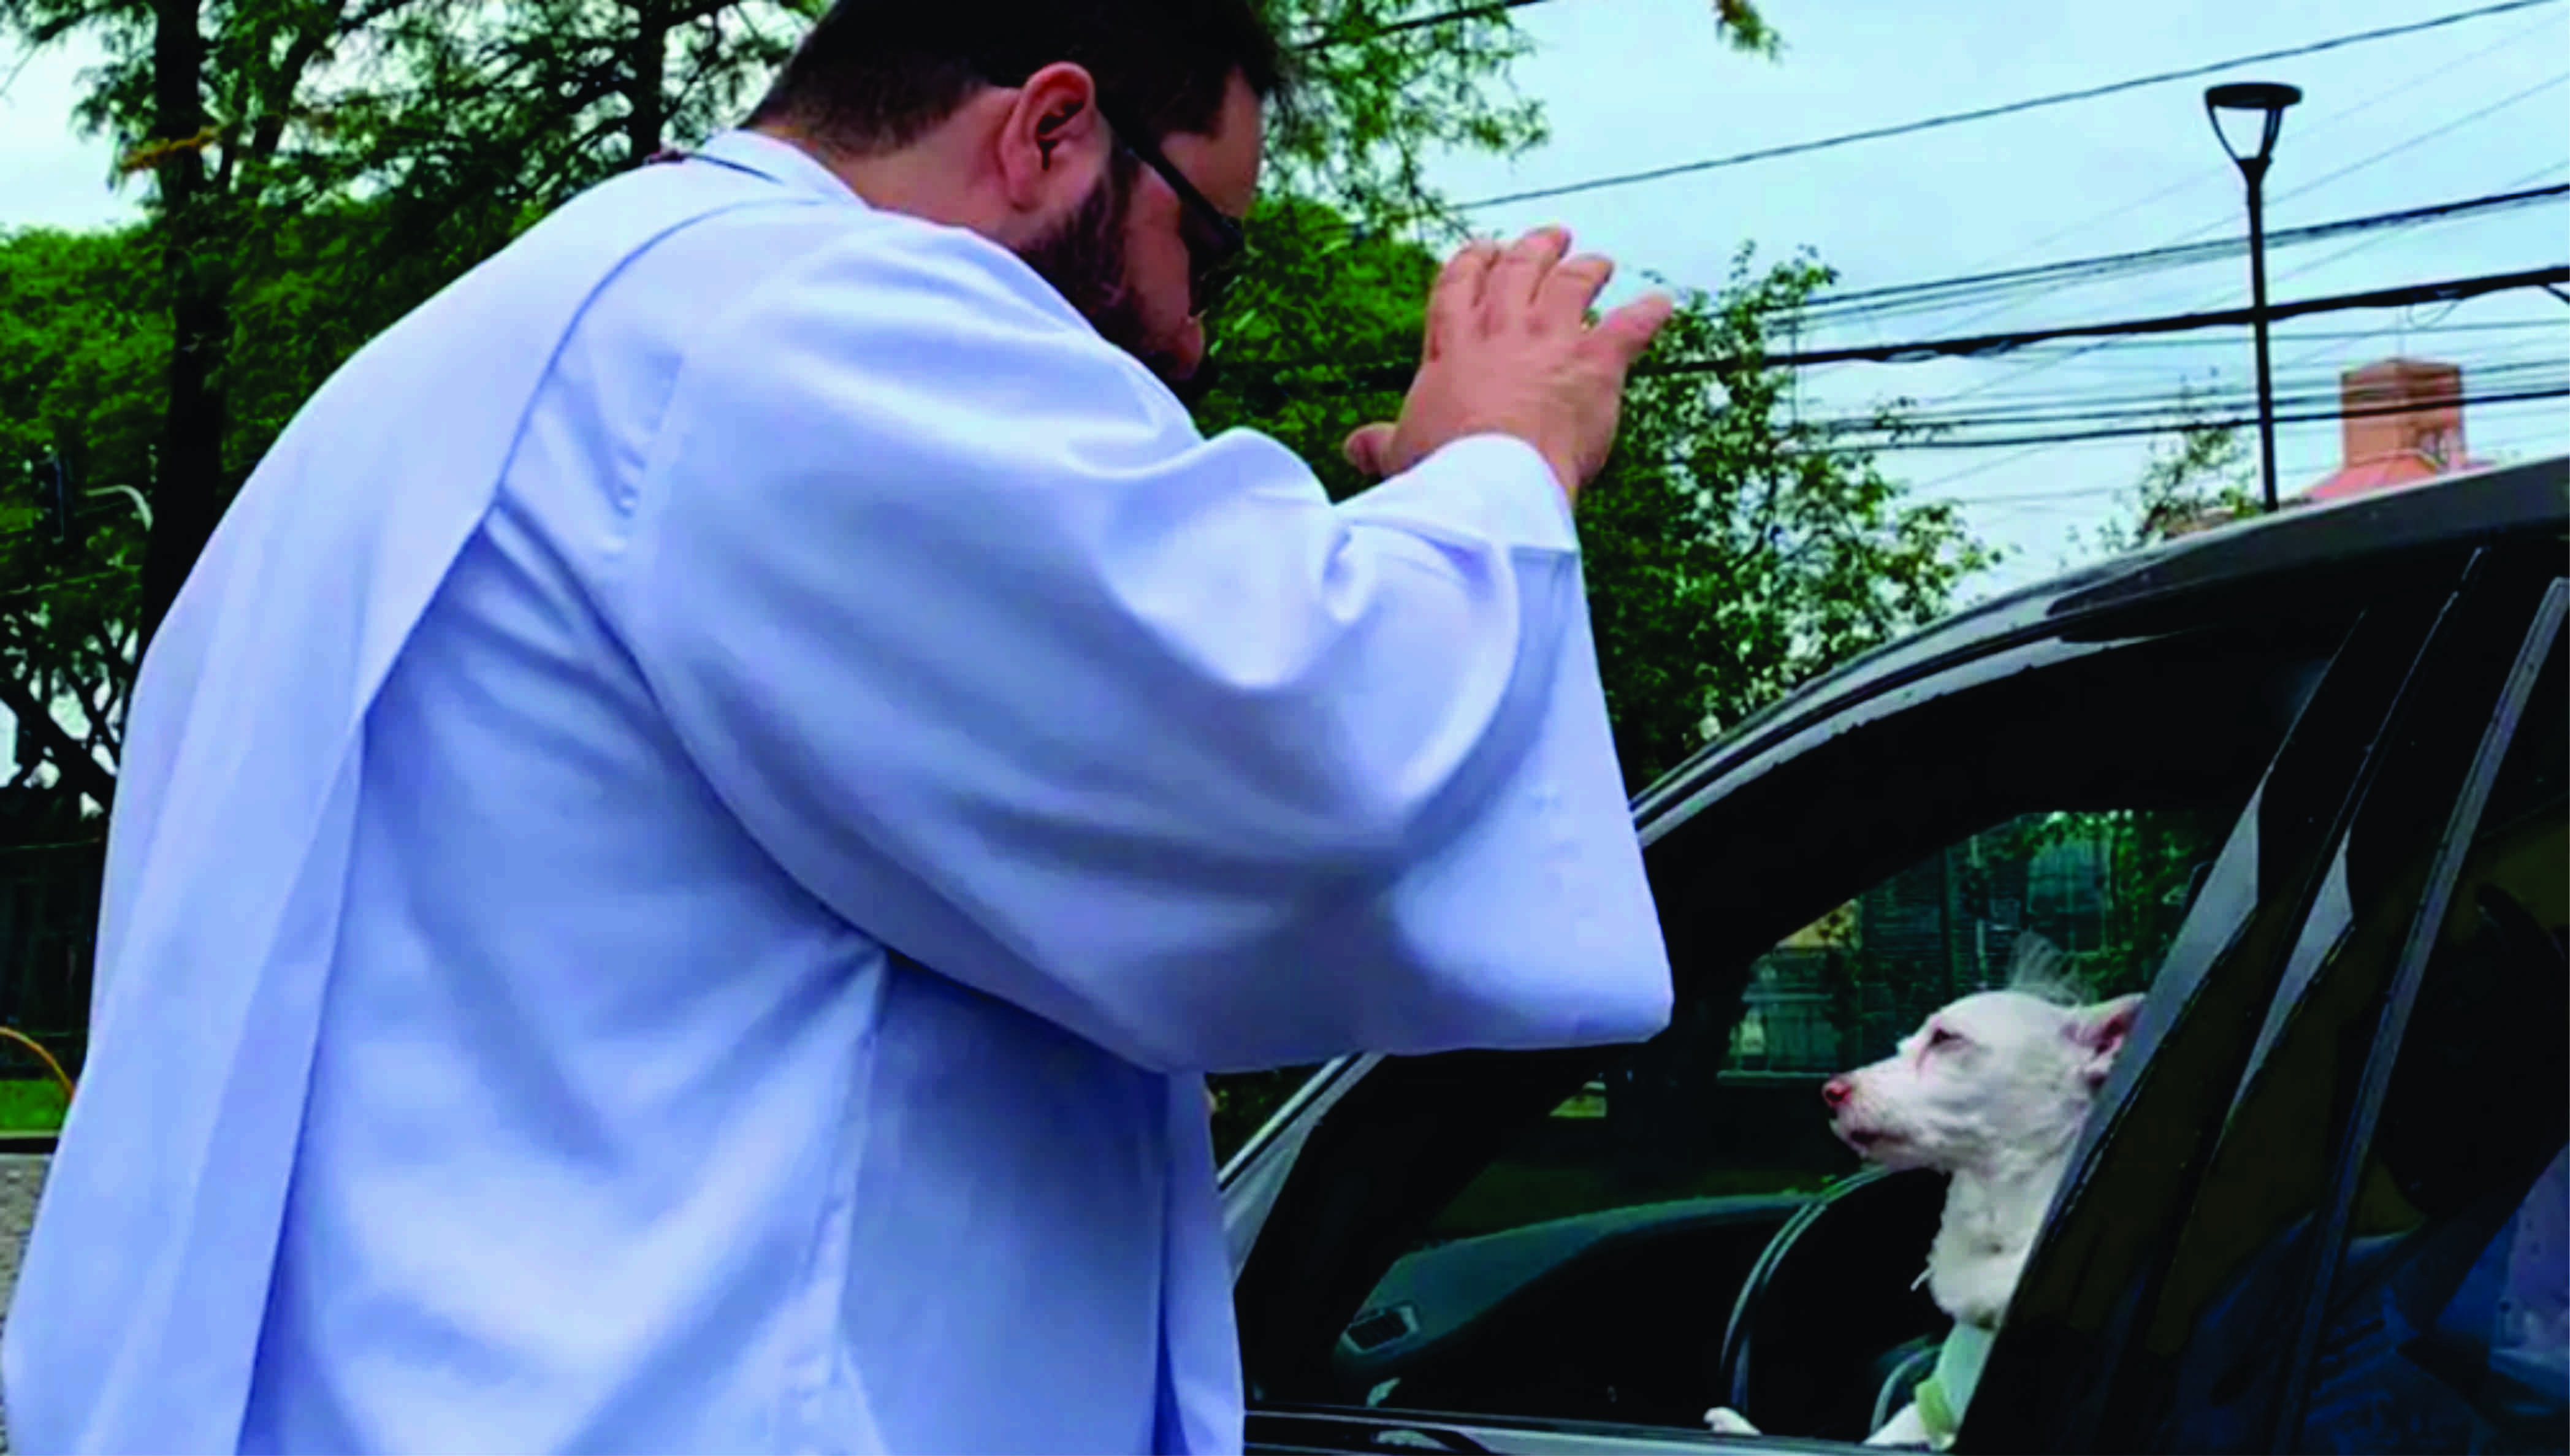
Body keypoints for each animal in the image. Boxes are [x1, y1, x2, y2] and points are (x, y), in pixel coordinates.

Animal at [1706, 940, 2148, 1448]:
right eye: (1904, 1045)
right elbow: (1880, 1436)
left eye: (1945, 1038)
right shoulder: (1928, 1406)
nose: (1830, 1091)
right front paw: (1741, 1427)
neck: (1997, 1221)